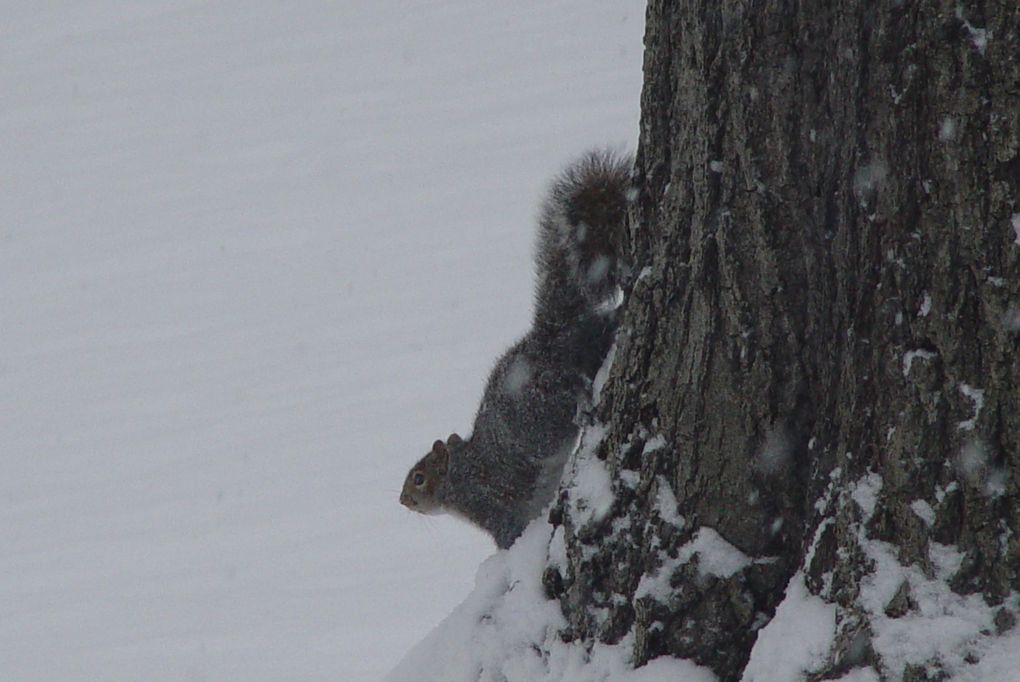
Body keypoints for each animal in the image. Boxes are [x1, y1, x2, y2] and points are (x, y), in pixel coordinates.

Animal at [397, 148, 628, 546]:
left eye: (419, 477)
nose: (402, 500)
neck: (459, 471)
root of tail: (548, 337)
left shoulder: (489, 506)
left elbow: (509, 534)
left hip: (541, 411)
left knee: (568, 390)